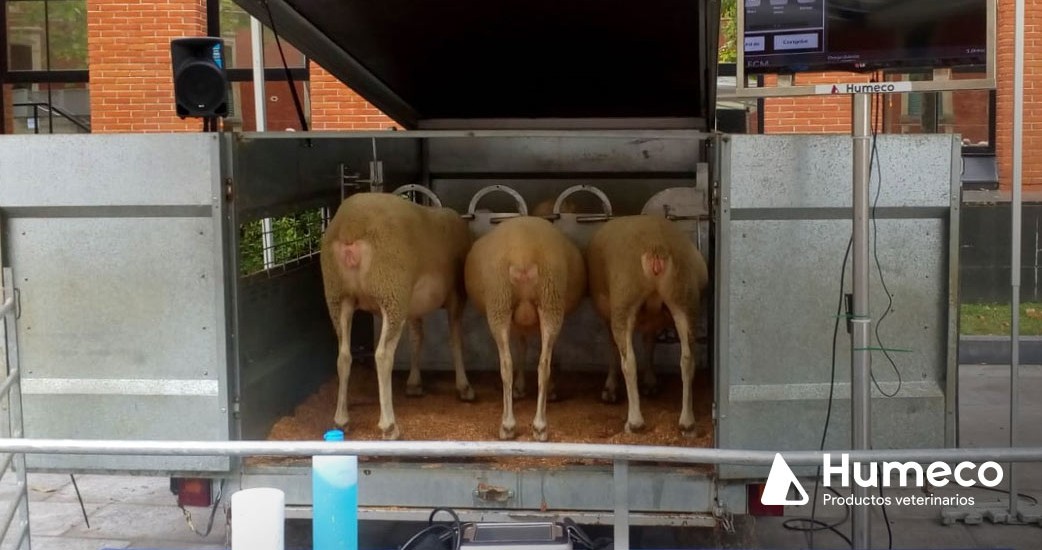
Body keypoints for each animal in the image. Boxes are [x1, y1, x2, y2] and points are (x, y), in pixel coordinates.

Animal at [318, 191, 475, 439]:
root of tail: (350, 226)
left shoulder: (412, 305)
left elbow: (416, 339)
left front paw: (414, 383)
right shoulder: (456, 296)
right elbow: (455, 341)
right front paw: (464, 387)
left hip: (339, 295)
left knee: (343, 356)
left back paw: (341, 419)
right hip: (391, 289)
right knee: (383, 355)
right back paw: (389, 425)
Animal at [464, 216, 587, 439]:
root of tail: (523, 253)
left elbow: (522, 345)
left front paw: (521, 387)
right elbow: (524, 344)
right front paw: (524, 387)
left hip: (502, 301)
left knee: (507, 364)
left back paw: (509, 425)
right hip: (546, 300)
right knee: (541, 364)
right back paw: (538, 426)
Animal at [587, 214, 708, 433]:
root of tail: (656, 246)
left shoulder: (609, 313)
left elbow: (613, 348)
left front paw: (610, 388)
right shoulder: (654, 319)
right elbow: (649, 343)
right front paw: (651, 382)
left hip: (625, 299)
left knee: (629, 361)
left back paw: (634, 421)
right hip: (684, 297)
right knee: (687, 359)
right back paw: (687, 421)